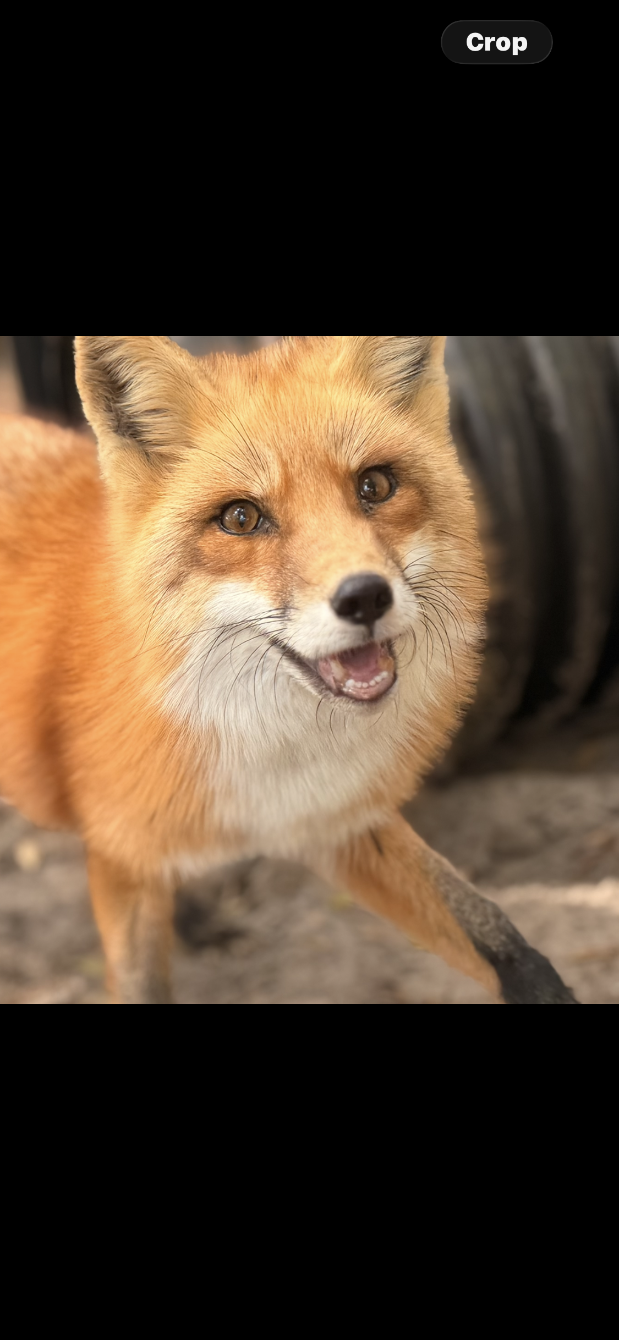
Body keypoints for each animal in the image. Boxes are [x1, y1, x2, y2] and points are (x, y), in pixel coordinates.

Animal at [0, 335, 578, 1004]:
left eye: (375, 485)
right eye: (241, 518)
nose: (364, 598)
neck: (265, 745)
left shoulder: (334, 819)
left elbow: (503, 939)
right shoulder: (123, 855)